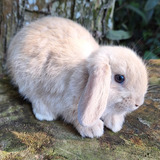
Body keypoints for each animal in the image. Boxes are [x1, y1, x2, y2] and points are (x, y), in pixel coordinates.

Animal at [6, 16, 148, 138]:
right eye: (119, 78)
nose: (138, 103)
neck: (85, 77)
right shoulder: (68, 104)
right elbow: (74, 116)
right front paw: (94, 129)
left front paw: (115, 124)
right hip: (25, 81)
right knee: (34, 96)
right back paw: (45, 114)